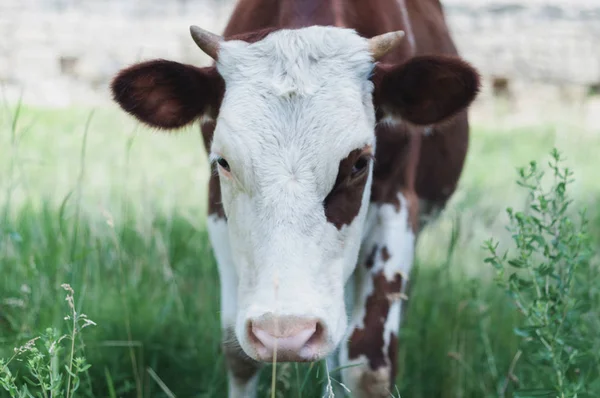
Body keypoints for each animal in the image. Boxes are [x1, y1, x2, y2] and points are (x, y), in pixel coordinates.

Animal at [110, 1, 480, 396]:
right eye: (224, 162)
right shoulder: (217, 212)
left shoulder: (397, 207)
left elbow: (368, 367)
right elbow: (239, 355)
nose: (285, 335)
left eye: (360, 163)